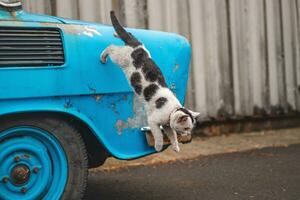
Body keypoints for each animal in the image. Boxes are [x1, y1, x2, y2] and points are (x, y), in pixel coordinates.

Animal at [101, 10, 199, 152]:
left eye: (190, 128)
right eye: (186, 127)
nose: (188, 133)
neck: (171, 111)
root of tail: (137, 47)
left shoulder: (167, 126)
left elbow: (173, 135)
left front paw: (175, 147)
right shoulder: (153, 121)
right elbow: (158, 135)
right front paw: (158, 147)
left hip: (131, 47)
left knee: (128, 34)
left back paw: (116, 34)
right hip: (120, 58)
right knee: (111, 47)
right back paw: (103, 57)